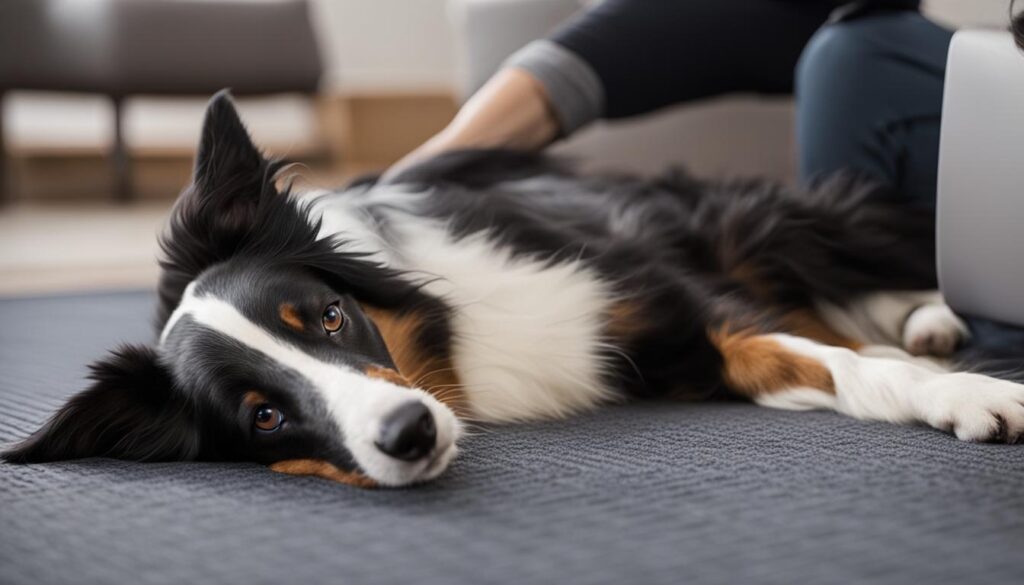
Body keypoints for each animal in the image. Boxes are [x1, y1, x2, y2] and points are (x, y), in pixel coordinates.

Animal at [4, 90, 1019, 485]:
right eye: (262, 415)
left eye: (330, 315)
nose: (410, 434)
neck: (454, 355)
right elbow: (814, 357)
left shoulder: (674, 294)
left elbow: (845, 358)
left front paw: (975, 394)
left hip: (757, 221)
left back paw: (930, 317)